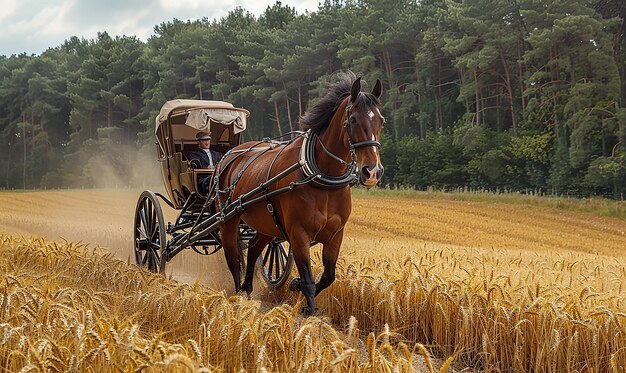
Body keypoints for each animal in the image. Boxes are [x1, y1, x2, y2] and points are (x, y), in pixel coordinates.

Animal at [212, 73, 382, 314]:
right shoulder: (298, 234)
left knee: (253, 249)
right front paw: (308, 310)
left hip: (267, 225)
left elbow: (329, 276)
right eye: (354, 119)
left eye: (381, 120)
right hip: (228, 220)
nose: (373, 172)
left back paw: (247, 288)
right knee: (233, 258)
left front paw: (294, 285)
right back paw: (237, 295)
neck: (321, 177)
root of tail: (229, 156)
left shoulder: (336, 234)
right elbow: (309, 279)